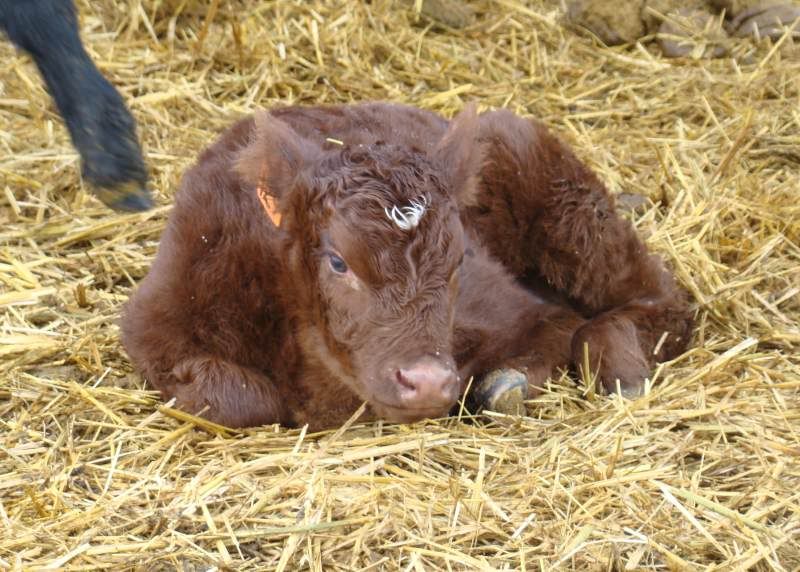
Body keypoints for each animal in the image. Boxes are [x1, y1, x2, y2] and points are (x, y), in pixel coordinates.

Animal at [121, 102, 694, 431]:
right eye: (338, 261)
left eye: (459, 258)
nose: (426, 381)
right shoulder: (152, 323)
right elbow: (239, 398)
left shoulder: (517, 310)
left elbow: (559, 329)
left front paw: (507, 383)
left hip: (564, 202)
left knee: (661, 300)